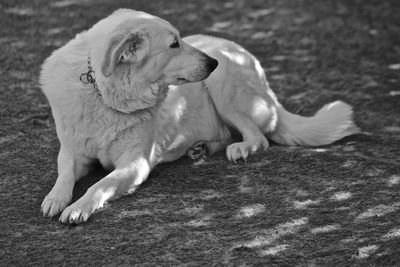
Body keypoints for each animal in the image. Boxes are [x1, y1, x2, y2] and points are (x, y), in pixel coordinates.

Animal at [39, 8, 360, 224]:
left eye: (180, 39)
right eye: (174, 44)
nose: (212, 63)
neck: (104, 94)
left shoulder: (136, 163)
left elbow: (100, 184)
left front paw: (78, 206)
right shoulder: (73, 151)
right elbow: (64, 174)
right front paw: (56, 198)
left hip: (224, 85)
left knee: (258, 137)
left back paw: (239, 148)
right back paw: (201, 147)